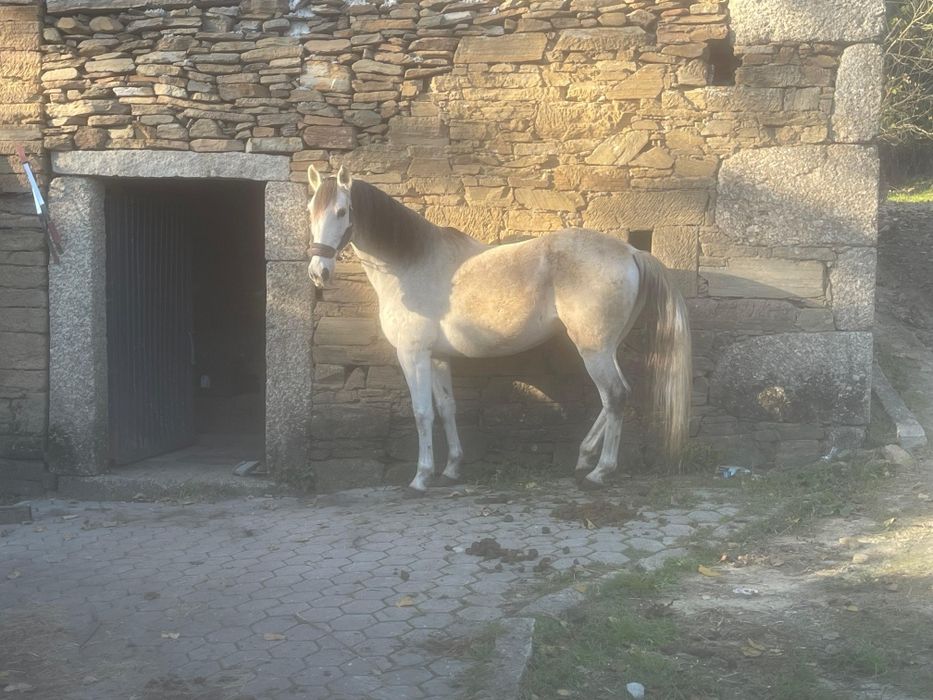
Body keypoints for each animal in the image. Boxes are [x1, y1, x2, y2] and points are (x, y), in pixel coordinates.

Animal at [306, 165, 692, 495]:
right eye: (311, 211)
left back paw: (600, 472)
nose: (318, 272)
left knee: (614, 395)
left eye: (342, 211)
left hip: (594, 350)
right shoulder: (437, 357)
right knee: (619, 394)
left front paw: (421, 478)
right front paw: (451, 469)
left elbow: (422, 413)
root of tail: (629, 251)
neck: (411, 265)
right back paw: (583, 459)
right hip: (605, 347)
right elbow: (446, 408)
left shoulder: (412, 354)